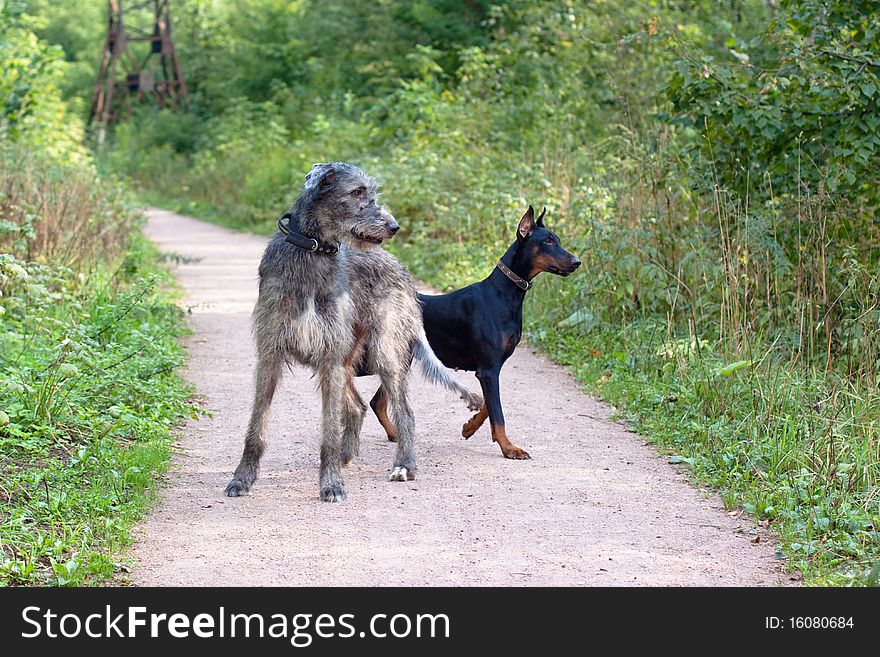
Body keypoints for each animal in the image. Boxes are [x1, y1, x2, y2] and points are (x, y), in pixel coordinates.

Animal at [223, 161, 478, 500]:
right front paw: (242, 478)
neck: (314, 251)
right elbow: (256, 426)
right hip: (346, 360)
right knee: (356, 407)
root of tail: (400, 267)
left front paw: (330, 484)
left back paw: (403, 465)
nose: (394, 226)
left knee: (404, 413)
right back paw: (347, 457)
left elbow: (329, 431)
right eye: (357, 192)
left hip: (384, 351)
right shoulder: (271, 355)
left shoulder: (330, 357)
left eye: (371, 192)